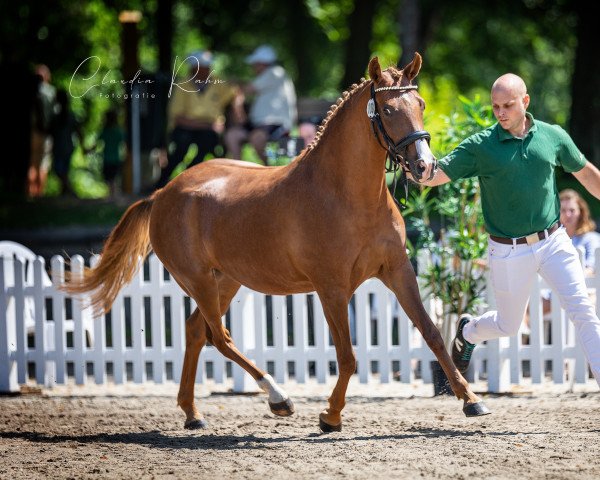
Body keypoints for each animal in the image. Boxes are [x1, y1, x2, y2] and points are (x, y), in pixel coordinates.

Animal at [65, 54, 490, 434]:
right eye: (386, 109)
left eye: (420, 105)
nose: (425, 166)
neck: (348, 195)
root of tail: (163, 192)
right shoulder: (331, 287)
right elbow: (347, 356)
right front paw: (330, 416)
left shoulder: (398, 272)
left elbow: (431, 334)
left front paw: (472, 401)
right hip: (198, 280)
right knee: (219, 337)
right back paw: (278, 398)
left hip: (225, 280)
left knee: (195, 331)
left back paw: (193, 414)